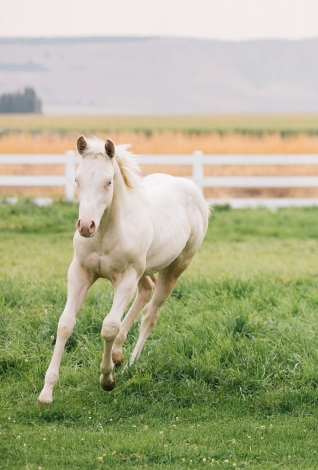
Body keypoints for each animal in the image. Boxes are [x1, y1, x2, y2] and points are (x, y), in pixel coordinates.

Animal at [36, 136, 209, 404]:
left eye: (108, 181)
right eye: (77, 179)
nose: (86, 226)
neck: (105, 232)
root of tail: (194, 192)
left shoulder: (126, 277)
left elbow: (109, 326)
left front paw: (107, 379)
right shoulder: (80, 273)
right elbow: (65, 323)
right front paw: (46, 392)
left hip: (175, 267)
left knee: (150, 314)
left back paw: (129, 364)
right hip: (145, 269)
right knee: (146, 289)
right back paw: (118, 354)